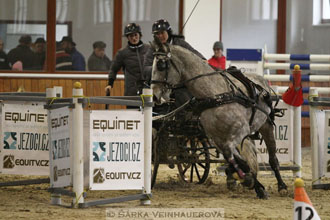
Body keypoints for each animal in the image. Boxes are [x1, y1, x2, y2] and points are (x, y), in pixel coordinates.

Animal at [151, 41, 288, 199]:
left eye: (161, 65)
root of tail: (262, 82)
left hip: (266, 126)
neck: (215, 95)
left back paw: (282, 186)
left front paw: (249, 180)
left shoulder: (240, 130)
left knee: (273, 159)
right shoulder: (216, 138)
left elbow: (235, 156)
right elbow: (233, 158)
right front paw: (250, 180)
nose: (154, 96)